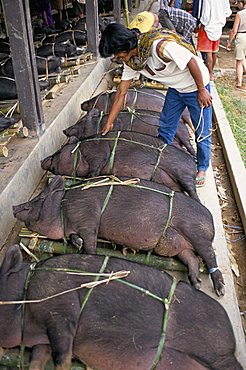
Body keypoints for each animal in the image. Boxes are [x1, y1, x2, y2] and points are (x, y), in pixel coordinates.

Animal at [13, 176, 225, 294]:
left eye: (38, 199)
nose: (14, 206)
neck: (63, 206)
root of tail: (211, 219)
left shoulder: (88, 216)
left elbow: (90, 241)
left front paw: (89, 254)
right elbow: (76, 238)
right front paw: (78, 243)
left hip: (198, 234)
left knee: (210, 257)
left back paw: (220, 290)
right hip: (177, 247)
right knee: (192, 259)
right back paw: (196, 285)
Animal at [40, 130, 198, 199]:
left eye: (58, 152)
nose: (42, 161)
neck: (80, 151)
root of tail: (193, 163)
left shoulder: (98, 152)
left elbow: (95, 167)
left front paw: (89, 179)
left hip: (183, 172)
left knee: (192, 190)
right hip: (173, 182)